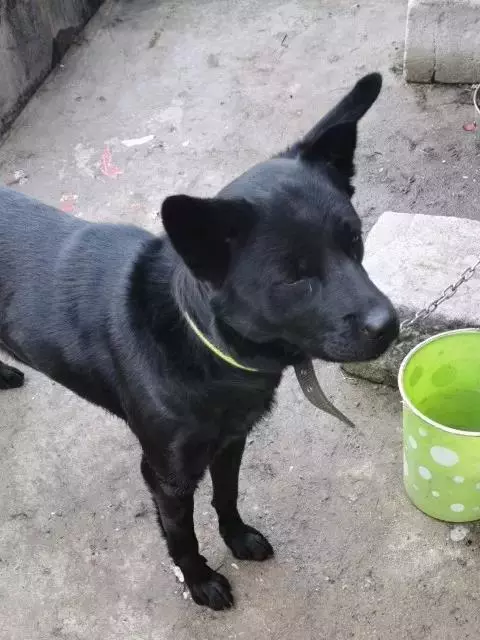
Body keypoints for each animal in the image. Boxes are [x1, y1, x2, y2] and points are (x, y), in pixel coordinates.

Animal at [0, 73, 398, 610]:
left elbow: (226, 495)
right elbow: (182, 536)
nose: (390, 324)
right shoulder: (166, 476)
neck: (206, 345)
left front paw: (237, 537)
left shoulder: (232, 441)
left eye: (353, 238)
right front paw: (200, 580)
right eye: (294, 278)